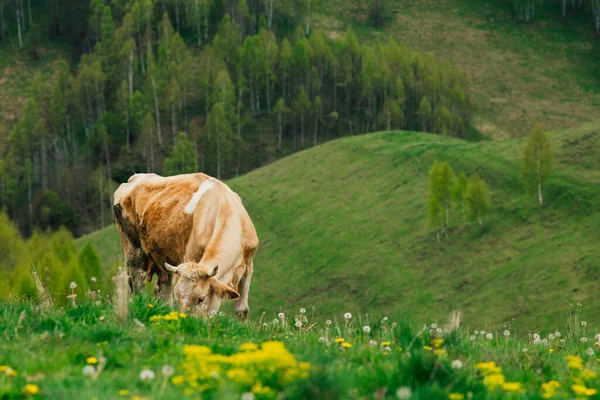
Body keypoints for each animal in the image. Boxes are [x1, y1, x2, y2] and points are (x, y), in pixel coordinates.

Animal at [112, 172, 258, 318]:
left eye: (201, 298)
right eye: (179, 298)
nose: (185, 320)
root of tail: (136, 177)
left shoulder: (248, 265)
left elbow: (242, 309)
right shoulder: (191, 255)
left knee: (163, 292)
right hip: (132, 250)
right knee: (136, 283)